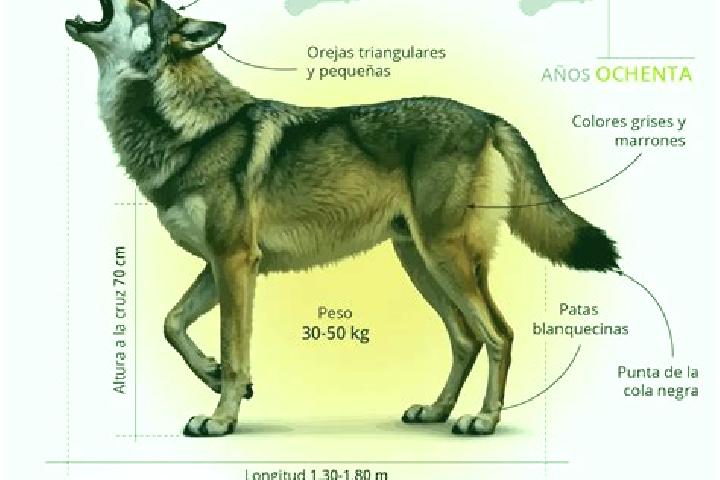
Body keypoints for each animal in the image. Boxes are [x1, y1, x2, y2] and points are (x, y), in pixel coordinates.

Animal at [66, 0, 619, 437]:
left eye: (143, 3)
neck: (188, 129)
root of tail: (487, 117)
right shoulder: (221, 264)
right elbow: (173, 324)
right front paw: (216, 375)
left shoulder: (235, 261)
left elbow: (232, 345)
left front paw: (221, 419)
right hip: (420, 263)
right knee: (466, 338)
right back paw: (437, 411)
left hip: (445, 260)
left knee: (499, 334)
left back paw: (482, 420)